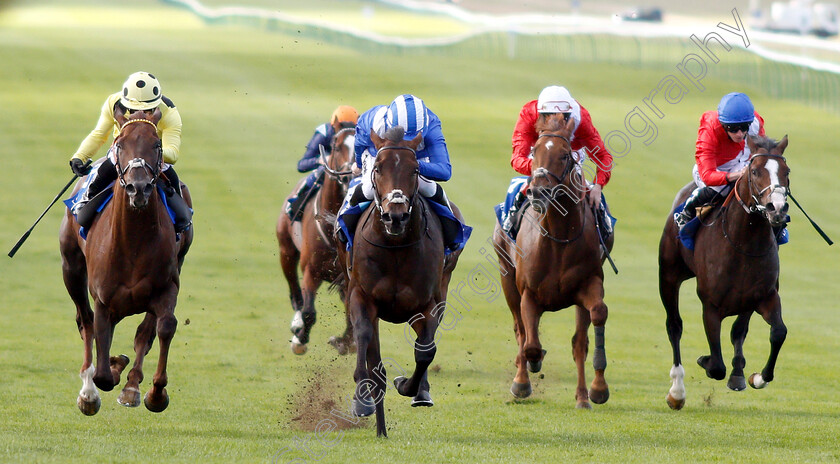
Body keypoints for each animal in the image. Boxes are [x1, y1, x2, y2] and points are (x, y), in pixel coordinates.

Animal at [59, 109, 194, 416]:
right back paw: (88, 390)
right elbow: (102, 367)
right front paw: (98, 383)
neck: (133, 243)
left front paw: (150, 393)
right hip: (71, 268)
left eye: (157, 144)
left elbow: (160, 328)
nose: (139, 188)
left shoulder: (166, 286)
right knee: (85, 321)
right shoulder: (102, 297)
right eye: (119, 144)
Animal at [276, 127, 354, 356]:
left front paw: (345, 342)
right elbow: (309, 311)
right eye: (336, 146)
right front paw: (300, 340)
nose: (349, 176)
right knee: (296, 293)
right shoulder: (312, 270)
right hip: (286, 250)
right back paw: (296, 324)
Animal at [334, 126, 466, 436]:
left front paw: (410, 387)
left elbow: (425, 351)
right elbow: (363, 336)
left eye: (415, 169)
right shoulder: (361, 295)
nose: (395, 216)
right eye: (378, 168)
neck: (394, 247)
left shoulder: (428, 303)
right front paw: (361, 399)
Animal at [492, 113, 616, 410]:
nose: (538, 191)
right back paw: (523, 376)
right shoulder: (528, 292)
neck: (559, 238)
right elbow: (530, 342)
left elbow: (595, 319)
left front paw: (597, 389)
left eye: (564, 155)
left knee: (578, 341)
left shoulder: (589, 284)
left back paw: (582, 396)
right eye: (535, 151)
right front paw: (525, 378)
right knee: (521, 331)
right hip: (506, 276)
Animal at [660, 134, 792, 410]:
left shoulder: (763, 296)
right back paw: (677, 391)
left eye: (787, 172)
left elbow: (777, 332)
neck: (744, 243)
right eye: (754, 171)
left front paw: (756, 377)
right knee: (674, 326)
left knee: (739, 332)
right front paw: (705, 361)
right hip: (668, 276)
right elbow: (716, 364)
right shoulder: (710, 305)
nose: (776, 209)